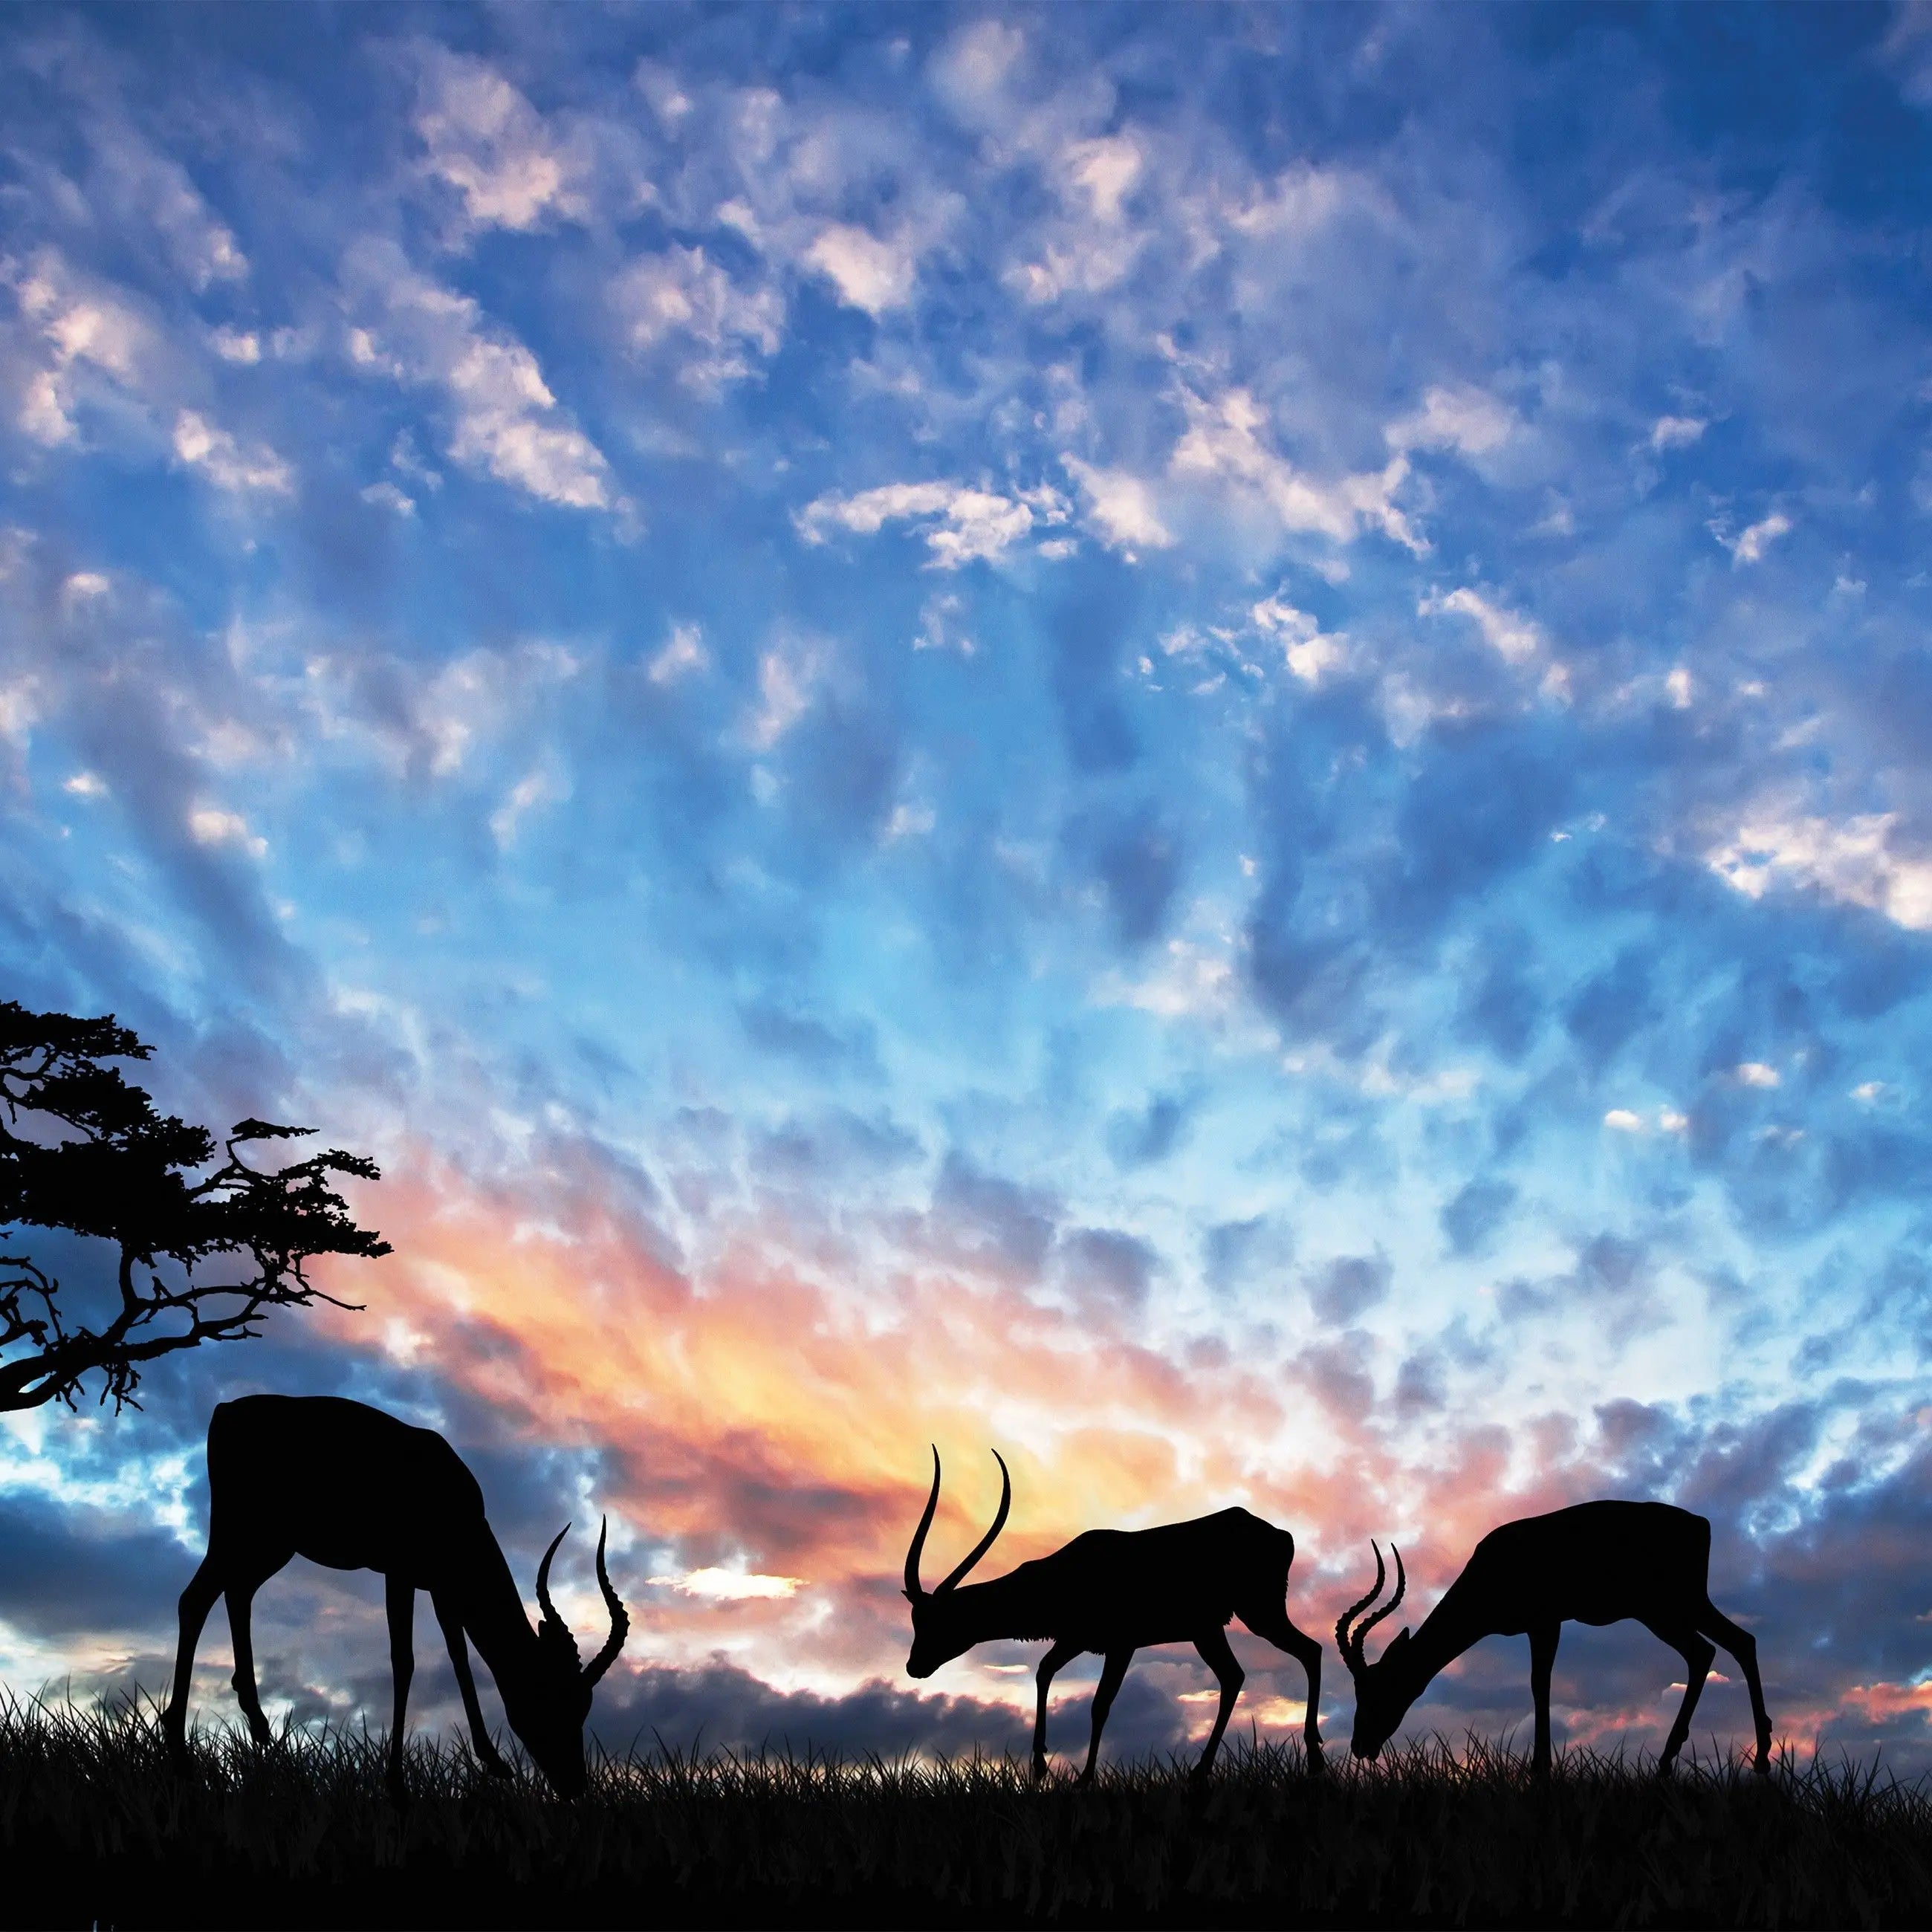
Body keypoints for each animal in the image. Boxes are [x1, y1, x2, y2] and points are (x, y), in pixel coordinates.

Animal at [161, 1398, 626, 1800]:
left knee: (237, 1594)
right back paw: (180, 1755)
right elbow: (404, 1661)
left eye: (584, 1709)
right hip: (240, 1532)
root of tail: (225, 1412)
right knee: (194, 1599)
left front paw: (493, 1762)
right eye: (552, 1703)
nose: (575, 1786)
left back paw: (258, 1728)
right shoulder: (399, 1573)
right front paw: (396, 1783)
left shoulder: (441, 1587)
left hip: (269, 1544)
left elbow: (459, 1656)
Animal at [904, 1453, 1329, 1777]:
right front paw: (1040, 1765)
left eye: (937, 1621)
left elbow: (1099, 1704)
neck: (1063, 1576)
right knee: (1240, 1673)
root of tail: (1282, 1535)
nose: (913, 1666)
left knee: (1307, 1651)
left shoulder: (1121, 1645)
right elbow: (1044, 1672)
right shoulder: (1076, 1640)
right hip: (1209, 1629)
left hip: (1256, 1612)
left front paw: (1085, 1778)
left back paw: (1310, 1759)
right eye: (915, 1621)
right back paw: (1204, 1773)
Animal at [1337, 1491, 1769, 1777]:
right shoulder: (1545, 1624)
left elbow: (1539, 1684)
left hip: (1667, 1610)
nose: (1360, 1745)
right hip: (1679, 1609)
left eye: (1375, 1689)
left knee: (1713, 1650)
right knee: (1731, 1644)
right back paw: (1739, 1759)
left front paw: (1540, 1772)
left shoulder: (1545, 1621)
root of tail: (1700, 1524)